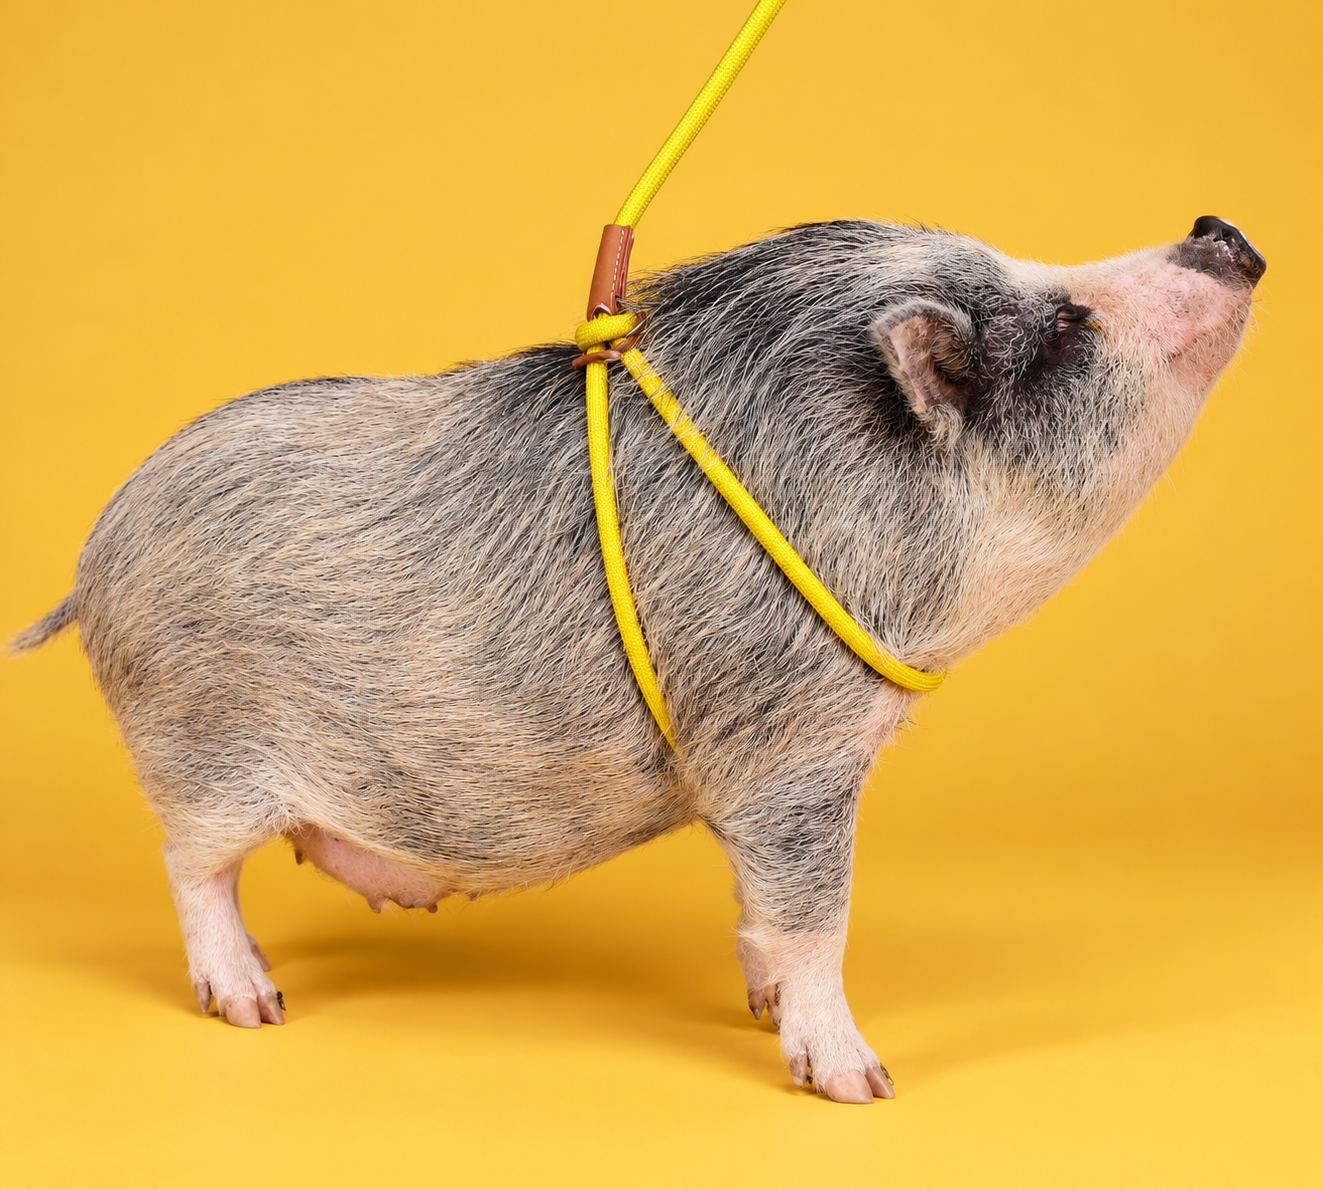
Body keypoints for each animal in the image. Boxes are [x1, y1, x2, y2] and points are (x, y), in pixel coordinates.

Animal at [12, 215, 1264, 1103]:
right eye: (1066, 327)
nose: (1222, 228)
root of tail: (96, 553)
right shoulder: (790, 745)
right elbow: (815, 911)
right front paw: (861, 1083)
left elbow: (760, 906)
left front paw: (762, 1010)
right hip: (195, 738)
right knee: (193, 864)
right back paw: (253, 1004)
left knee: (307, 838)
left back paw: (407, 892)